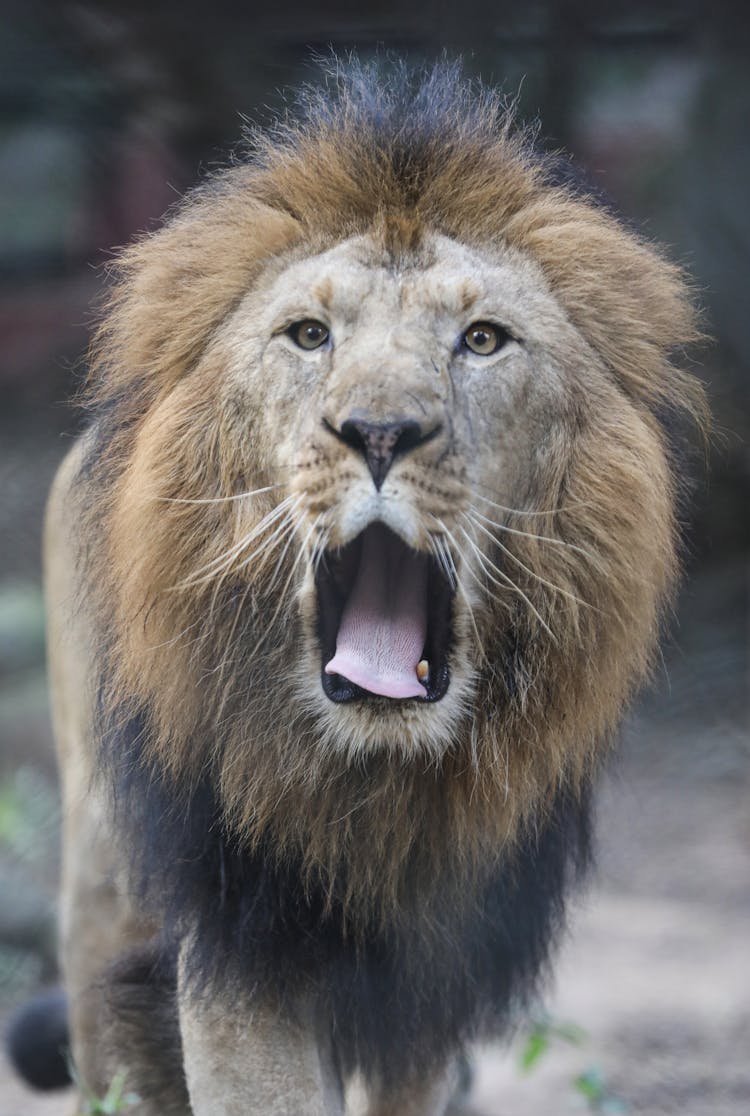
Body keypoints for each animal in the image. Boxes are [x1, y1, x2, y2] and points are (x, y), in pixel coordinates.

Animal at [8, 58, 705, 1116]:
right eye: (309, 335)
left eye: (482, 341)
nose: (380, 432)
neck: (373, 791)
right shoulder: (240, 938)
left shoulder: (433, 983)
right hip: (102, 893)